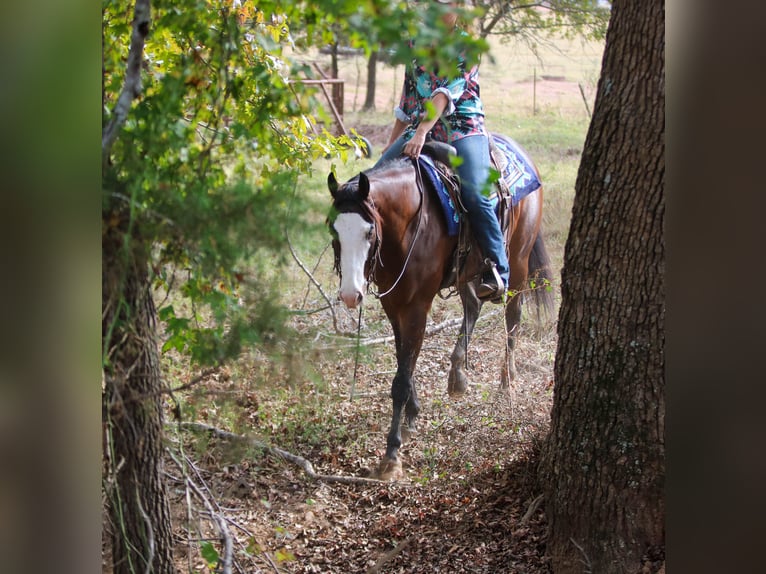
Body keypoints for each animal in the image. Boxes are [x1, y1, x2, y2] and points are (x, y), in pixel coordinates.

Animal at [327, 135, 554, 480]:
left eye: (368, 231)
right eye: (334, 230)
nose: (351, 295)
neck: (407, 226)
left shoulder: (417, 305)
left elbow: (401, 378)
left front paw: (392, 454)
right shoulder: (394, 303)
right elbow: (403, 362)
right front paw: (412, 417)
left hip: (518, 260)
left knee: (513, 316)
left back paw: (507, 383)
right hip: (467, 273)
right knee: (473, 306)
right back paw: (458, 374)